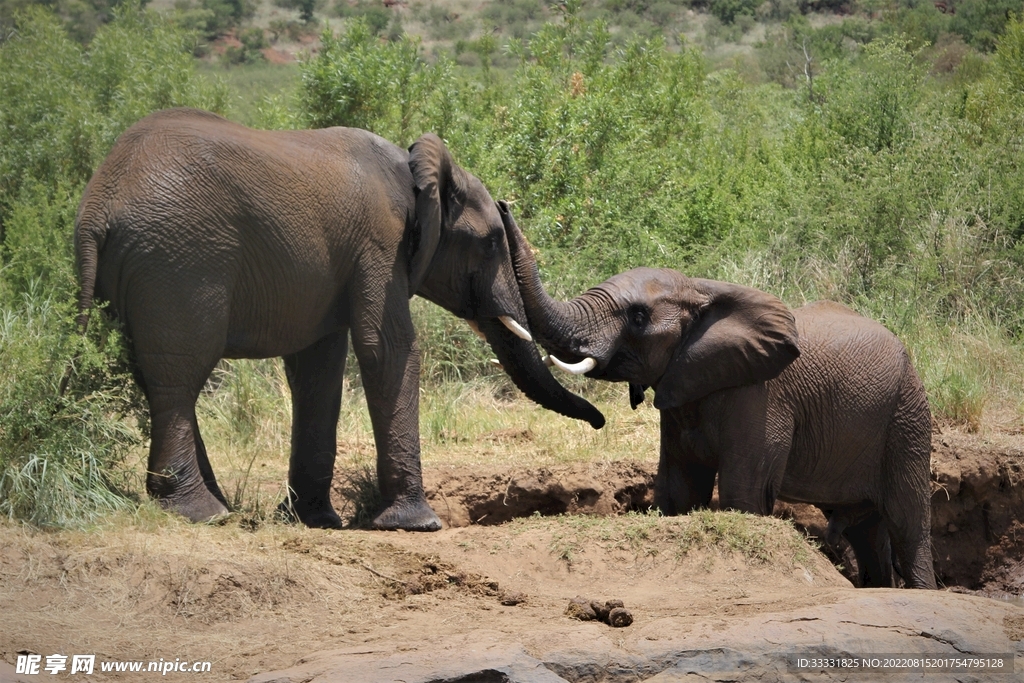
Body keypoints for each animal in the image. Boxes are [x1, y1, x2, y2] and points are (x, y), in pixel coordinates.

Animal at [74, 107, 604, 532]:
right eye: (492, 242)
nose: (599, 422)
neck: (415, 170)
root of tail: (98, 204)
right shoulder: (380, 241)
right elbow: (387, 348)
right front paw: (418, 524)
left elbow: (320, 369)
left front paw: (317, 520)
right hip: (177, 264)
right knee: (178, 375)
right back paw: (204, 514)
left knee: (153, 375)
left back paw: (215, 503)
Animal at [501, 210, 935, 588]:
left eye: (638, 317)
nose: (503, 205)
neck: (700, 289)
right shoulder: (682, 388)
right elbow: (680, 488)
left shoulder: (761, 395)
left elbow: (743, 491)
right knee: (866, 531)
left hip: (907, 416)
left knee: (908, 524)